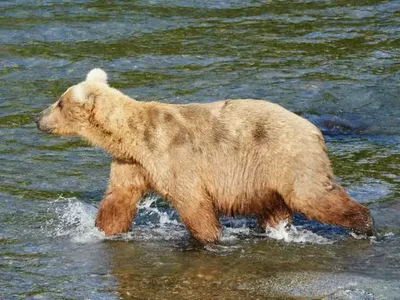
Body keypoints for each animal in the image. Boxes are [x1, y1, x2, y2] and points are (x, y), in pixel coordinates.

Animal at [35, 69, 376, 243]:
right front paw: (99, 229)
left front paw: (209, 239)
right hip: (265, 178)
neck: (132, 138)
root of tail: (315, 129)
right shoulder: (132, 163)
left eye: (59, 102)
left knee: (313, 195)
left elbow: (192, 202)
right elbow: (119, 199)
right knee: (274, 209)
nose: (37, 118)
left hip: (288, 158)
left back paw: (365, 225)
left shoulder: (172, 156)